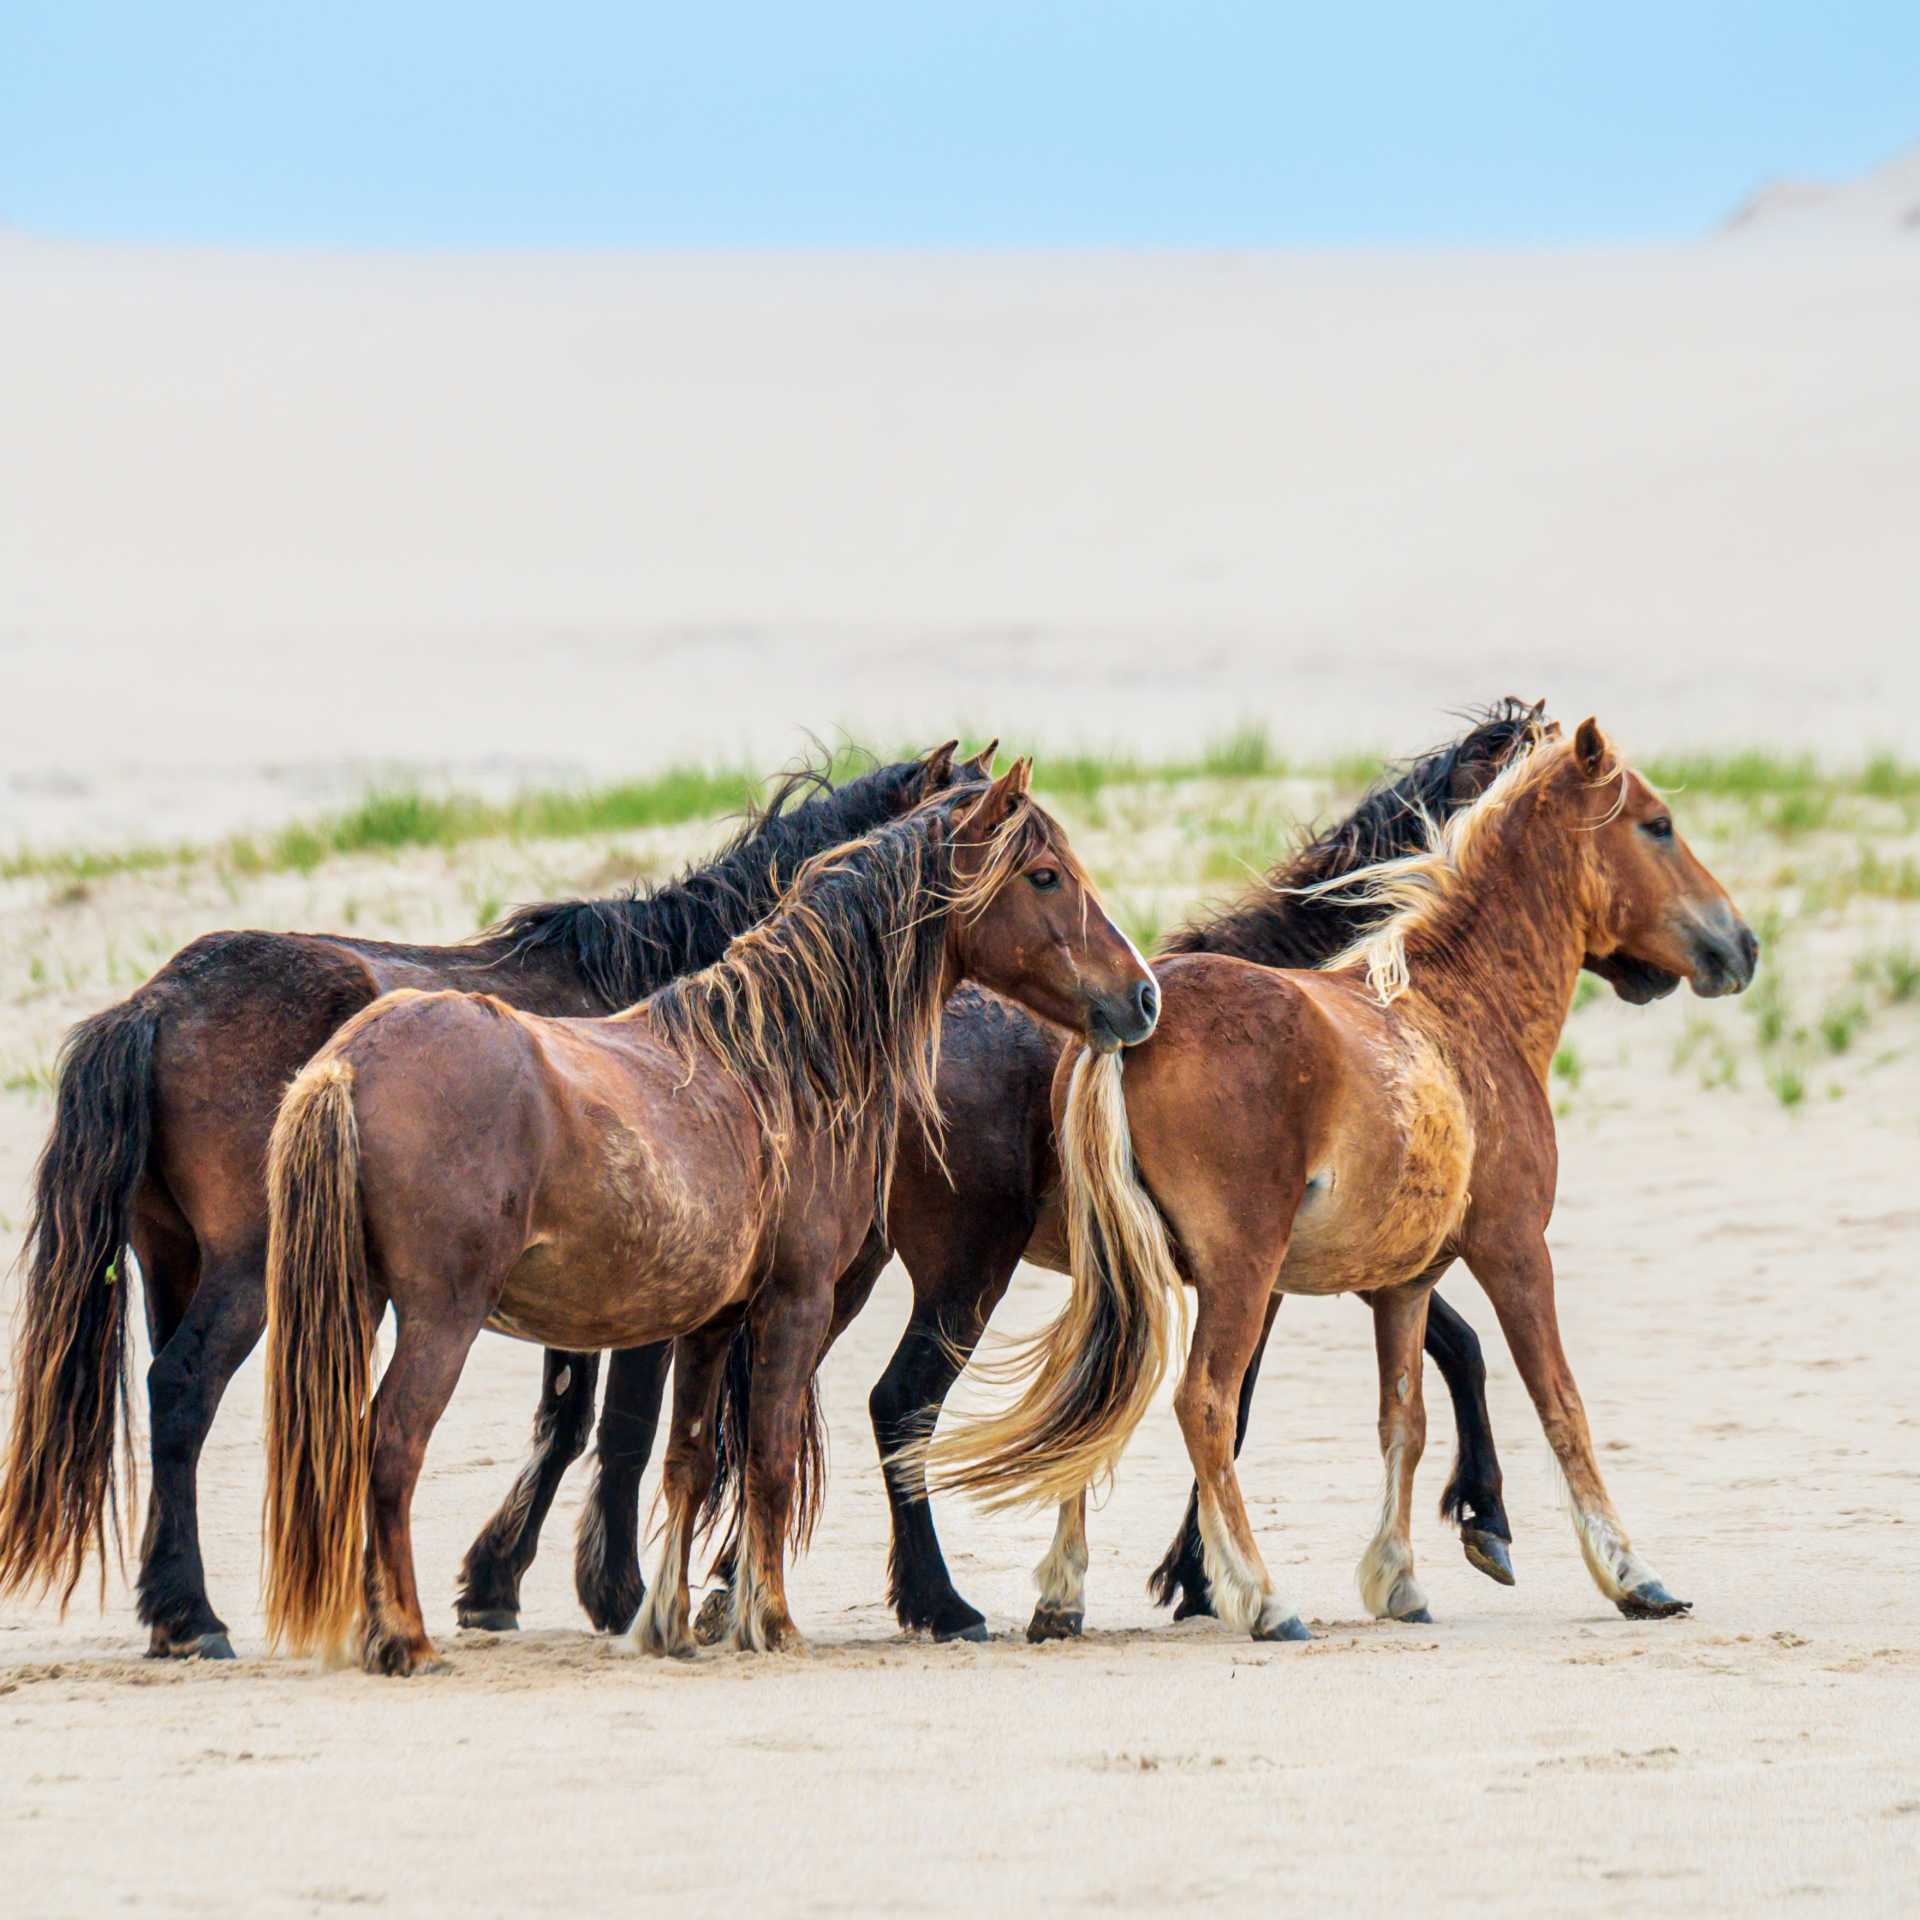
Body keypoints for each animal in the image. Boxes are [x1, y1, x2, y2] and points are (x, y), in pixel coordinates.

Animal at [0, 740, 974, 1658]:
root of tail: (155, 1002)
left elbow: (567, 1420)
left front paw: (497, 1583)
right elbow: (622, 1428)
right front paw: (611, 1592)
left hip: (172, 1263)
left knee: (172, 1408)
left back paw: (169, 1608)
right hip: (247, 1271)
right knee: (184, 1389)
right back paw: (195, 1616)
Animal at [259, 759, 1157, 1674]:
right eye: (1044, 876)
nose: (1143, 996)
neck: (780, 1062)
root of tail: (347, 1064)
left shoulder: (714, 1322)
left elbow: (688, 1458)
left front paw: (668, 1622)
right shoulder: (796, 1302)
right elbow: (766, 1462)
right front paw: (772, 1621)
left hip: (364, 1301)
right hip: (442, 1317)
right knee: (392, 1447)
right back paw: (405, 1636)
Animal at [921, 718, 1757, 1641]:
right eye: (1657, 826)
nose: (1741, 944)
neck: (1462, 1007)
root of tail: (1130, 1026)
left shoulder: (1404, 1284)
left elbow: (1407, 1419)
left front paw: (1400, 1579)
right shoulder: (1514, 1250)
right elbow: (1559, 1404)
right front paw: (1630, 1573)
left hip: (1129, 1277)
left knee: (1101, 1396)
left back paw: (1064, 1595)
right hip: (1229, 1272)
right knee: (1199, 1402)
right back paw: (1261, 1597)